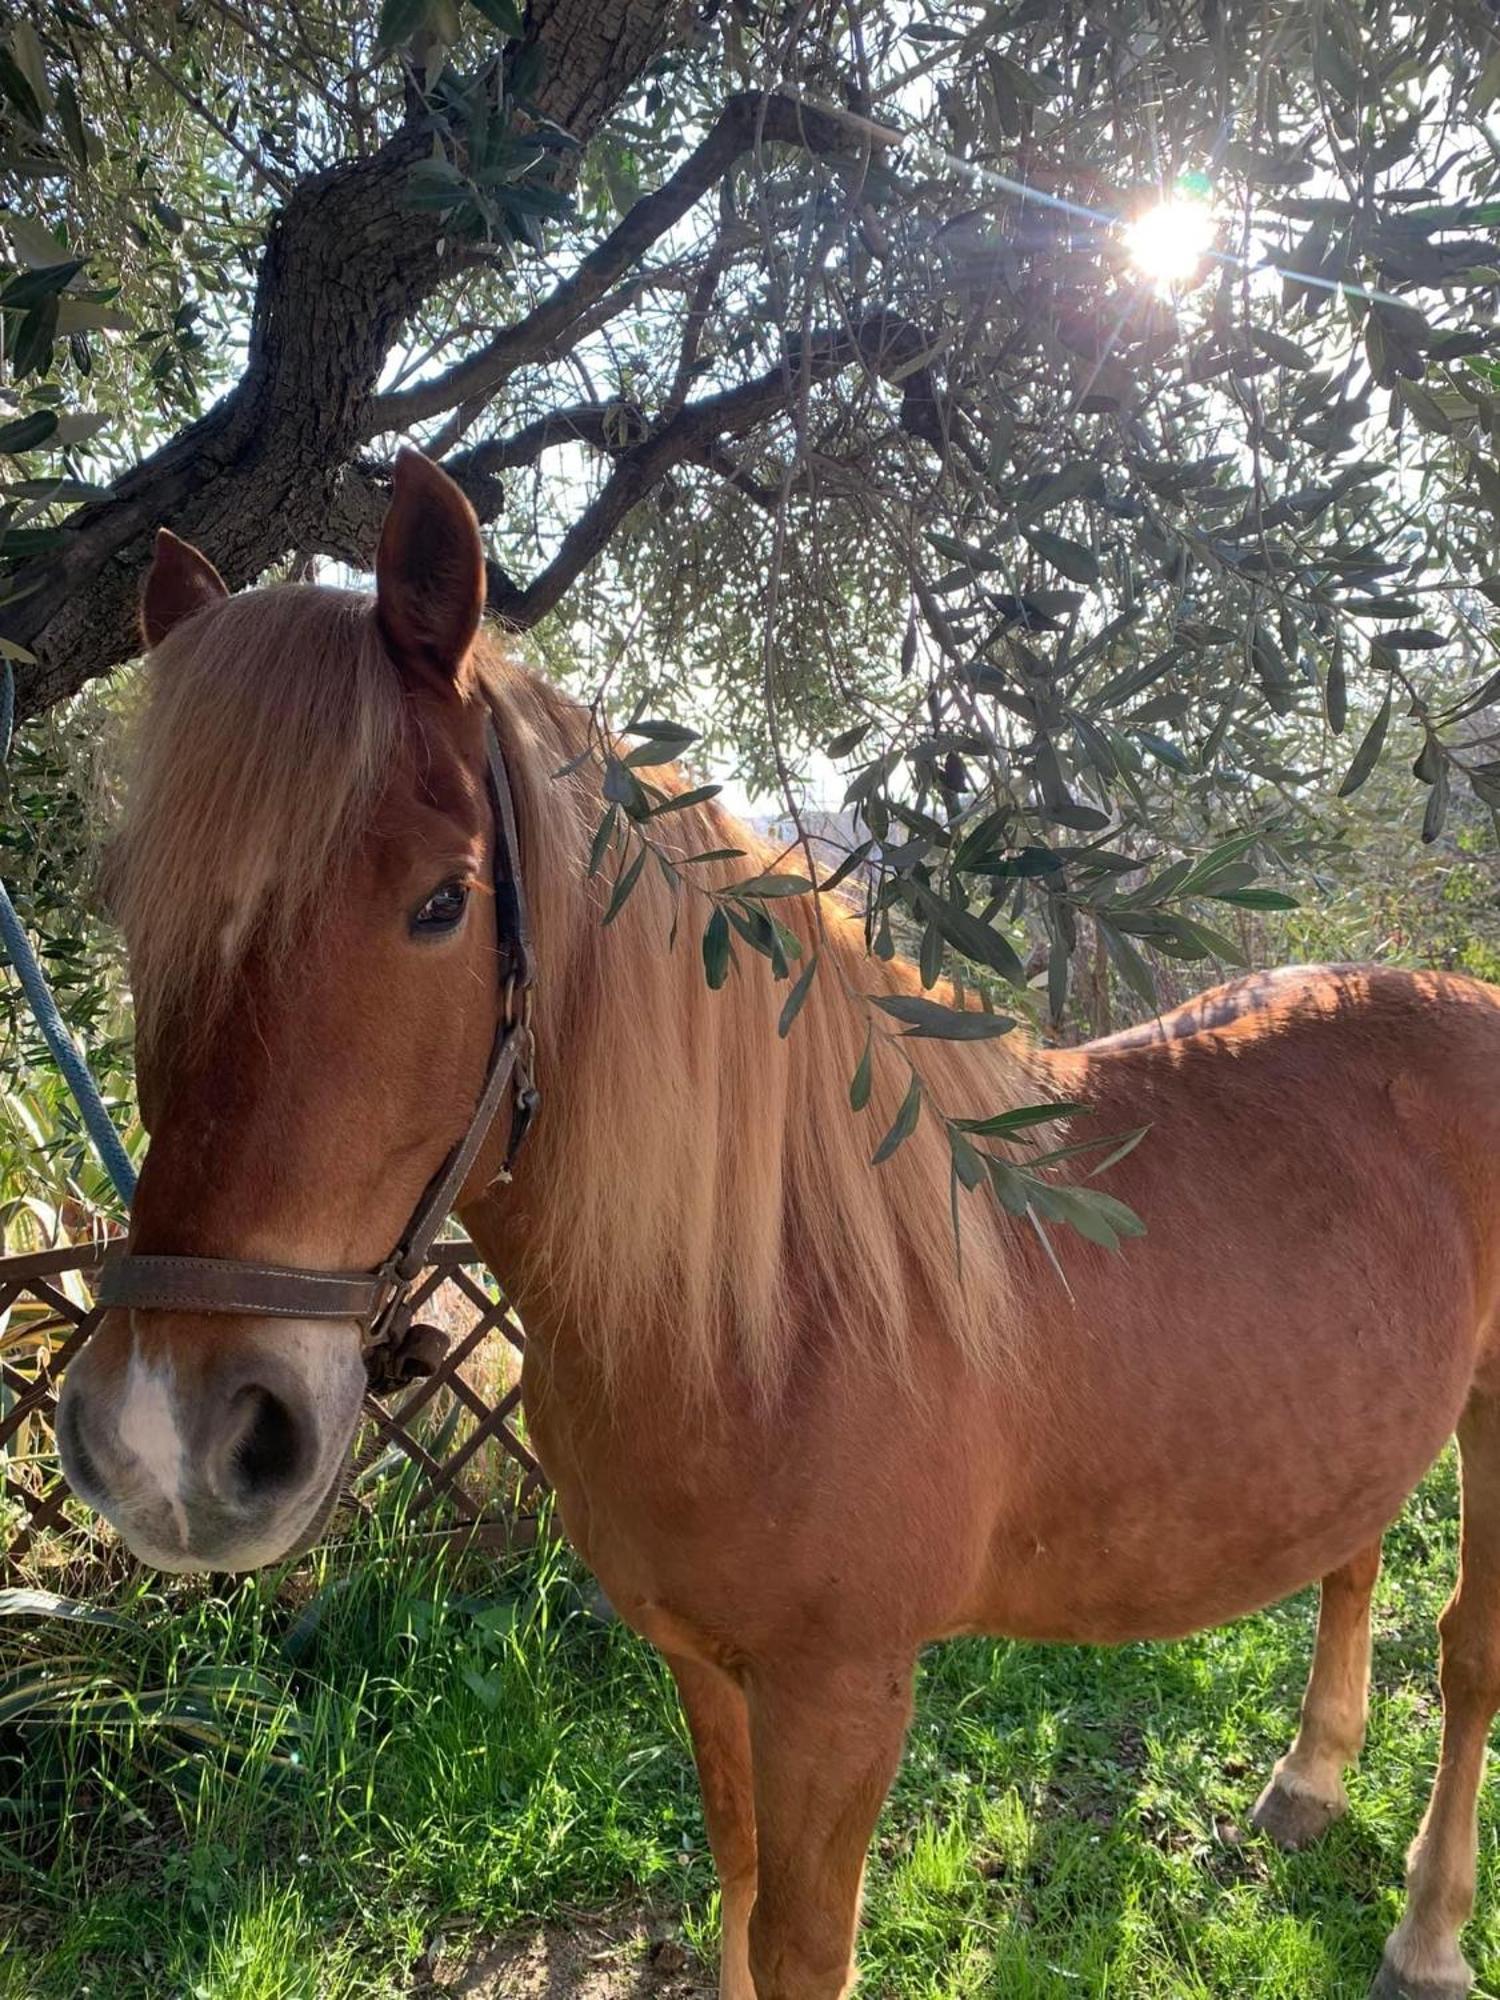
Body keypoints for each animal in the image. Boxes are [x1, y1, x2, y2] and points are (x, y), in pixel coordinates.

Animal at [58, 454, 1500, 2000]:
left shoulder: (839, 1698)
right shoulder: (704, 1666)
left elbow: (799, 1938)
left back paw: (1428, 1929)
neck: (770, 1305)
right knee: (1352, 1550)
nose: (163, 1442)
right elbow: (738, 1888)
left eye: (441, 902)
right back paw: (1311, 1777)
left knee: (1470, 1652)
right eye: (127, 911)